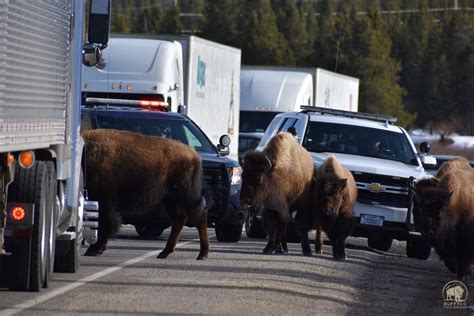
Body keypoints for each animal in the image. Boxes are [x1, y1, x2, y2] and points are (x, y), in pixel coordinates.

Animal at [83, 128, 211, 260]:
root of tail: (194, 155)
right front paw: (95, 248)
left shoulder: (104, 200)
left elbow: (103, 224)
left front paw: (94, 249)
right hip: (169, 200)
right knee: (179, 220)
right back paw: (164, 252)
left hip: (186, 196)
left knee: (199, 217)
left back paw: (203, 254)